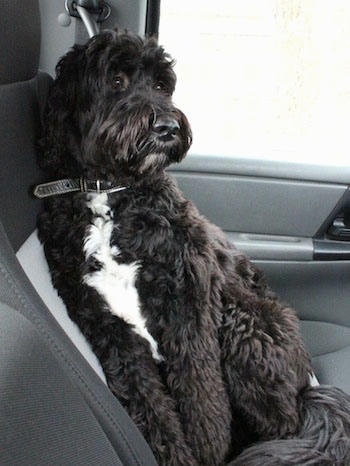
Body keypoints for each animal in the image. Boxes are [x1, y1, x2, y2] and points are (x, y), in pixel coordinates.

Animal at [36, 31, 350, 464]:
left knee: (283, 422)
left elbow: (201, 397)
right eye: (116, 80)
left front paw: (207, 451)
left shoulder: (189, 302)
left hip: (242, 322)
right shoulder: (108, 329)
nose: (168, 126)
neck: (110, 193)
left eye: (161, 85)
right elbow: (150, 409)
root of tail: (308, 383)